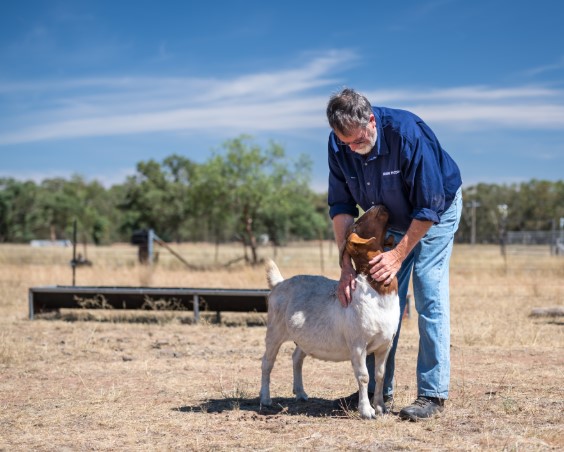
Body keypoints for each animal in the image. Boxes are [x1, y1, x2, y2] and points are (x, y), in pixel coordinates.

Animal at [260, 204, 400, 416]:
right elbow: (364, 376)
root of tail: (279, 284)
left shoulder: (385, 344)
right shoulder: (358, 344)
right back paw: (265, 399)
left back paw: (300, 393)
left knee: (296, 358)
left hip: (304, 338)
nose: (379, 205)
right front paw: (366, 411)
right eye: (360, 222)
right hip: (274, 331)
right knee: (267, 363)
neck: (376, 290)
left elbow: (380, 375)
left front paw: (381, 407)